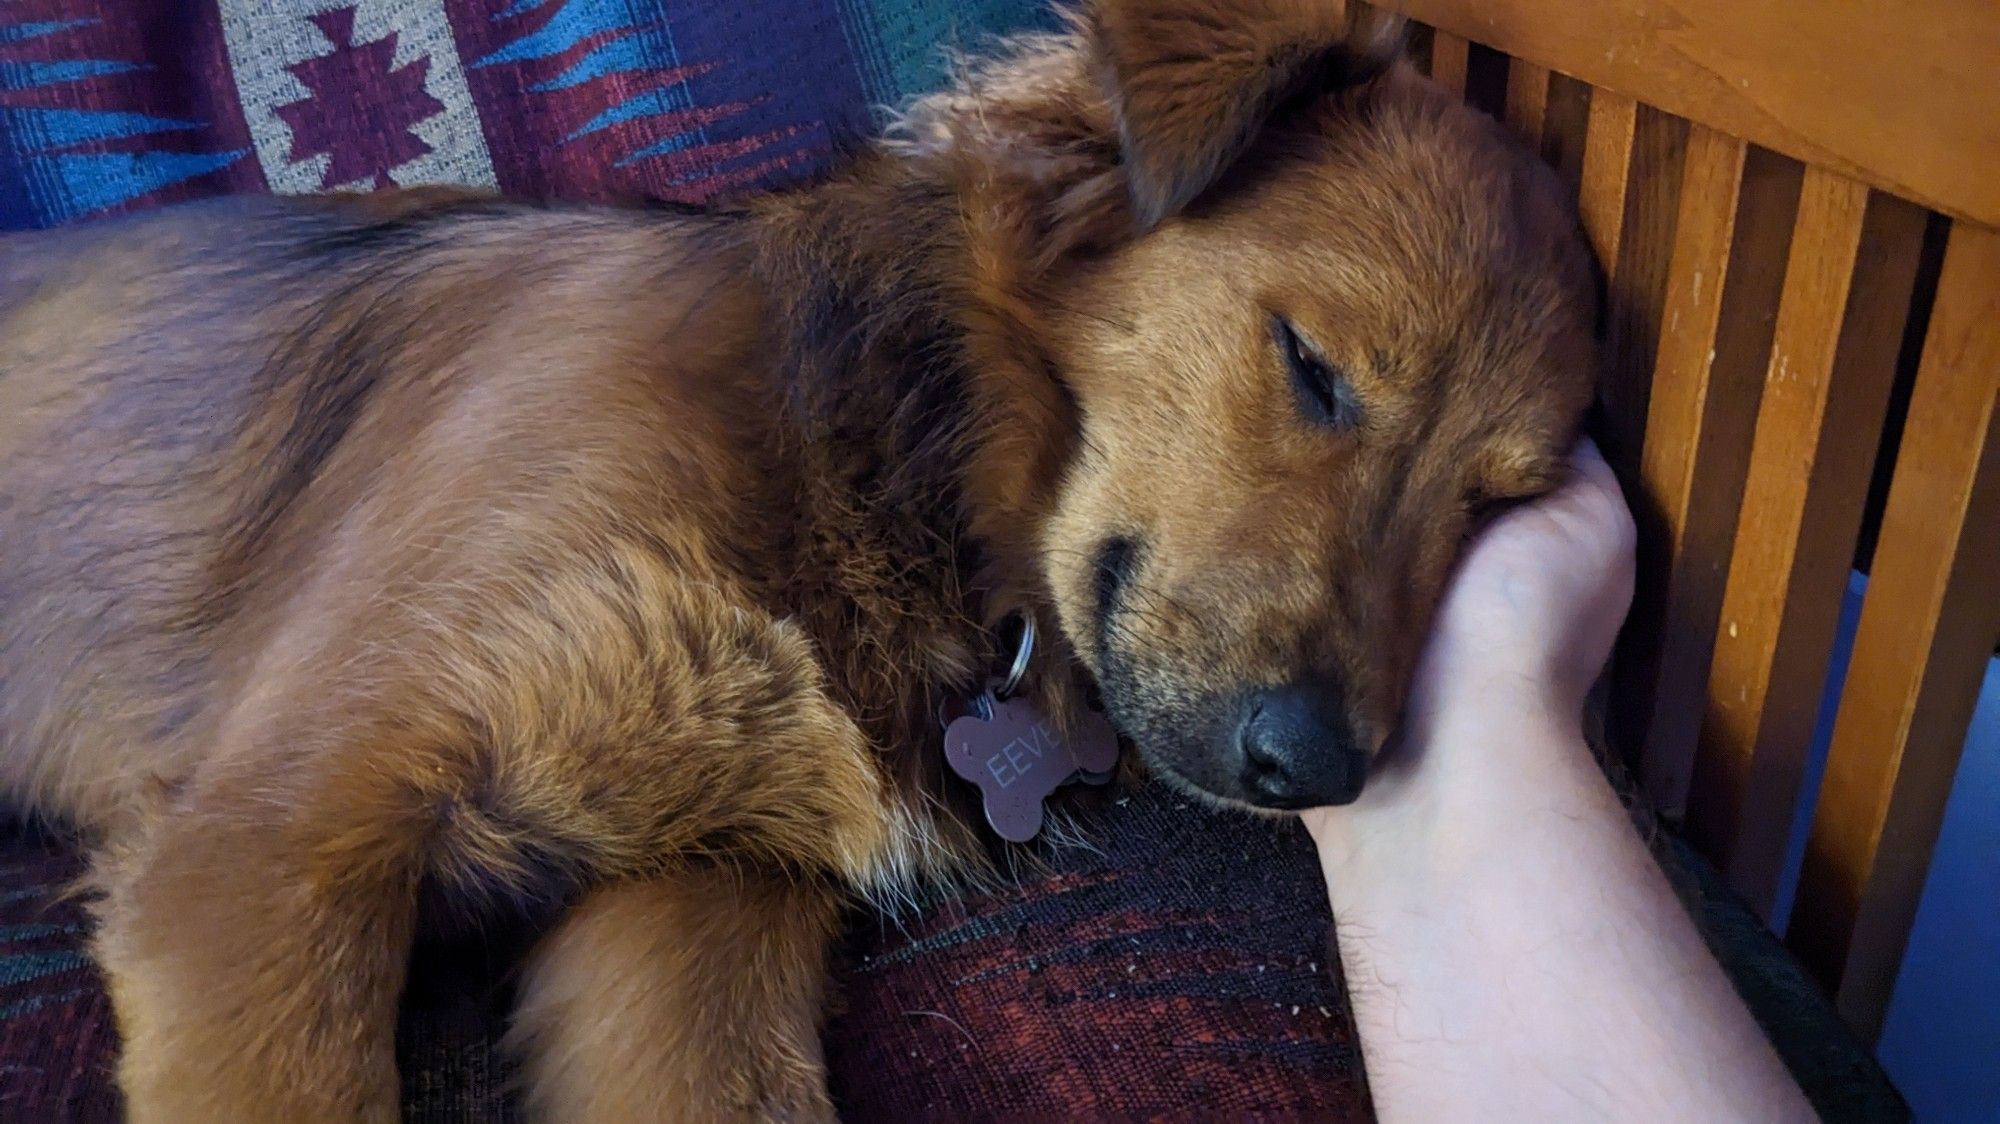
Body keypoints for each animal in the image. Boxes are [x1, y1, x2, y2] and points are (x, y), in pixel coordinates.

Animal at [0, 0, 1592, 1112]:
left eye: (1492, 505)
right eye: (1312, 368)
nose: (1320, 769)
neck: (870, 458)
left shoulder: (693, 899)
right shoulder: (267, 840)